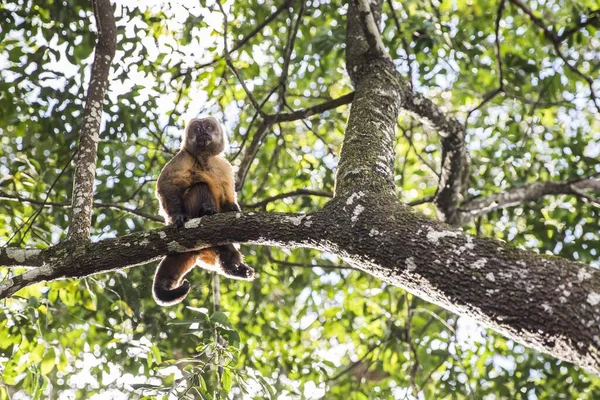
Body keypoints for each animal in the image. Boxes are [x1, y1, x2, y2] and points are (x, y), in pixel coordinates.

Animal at [152, 117, 255, 304]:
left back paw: (234, 268)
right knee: (200, 186)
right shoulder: (183, 158)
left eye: (208, 126)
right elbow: (167, 184)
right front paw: (177, 216)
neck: (204, 158)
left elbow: (228, 198)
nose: (203, 131)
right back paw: (206, 211)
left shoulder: (224, 165)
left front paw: (232, 208)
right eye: (197, 128)